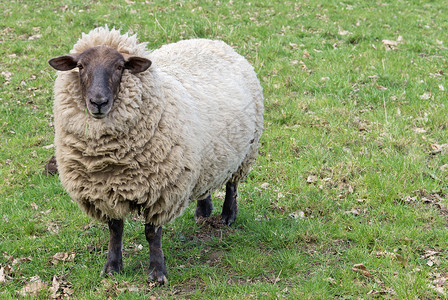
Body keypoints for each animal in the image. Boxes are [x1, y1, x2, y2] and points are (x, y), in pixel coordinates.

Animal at [48, 27, 262, 284]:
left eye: (120, 67)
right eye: (80, 66)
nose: (98, 102)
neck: (110, 159)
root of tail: (212, 41)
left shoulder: (161, 190)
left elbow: (152, 233)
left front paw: (157, 273)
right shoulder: (105, 191)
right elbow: (115, 230)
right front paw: (112, 268)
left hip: (245, 151)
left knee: (232, 185)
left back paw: (228, 216)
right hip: (208, 155)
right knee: (207, 182)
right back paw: (202, 212)